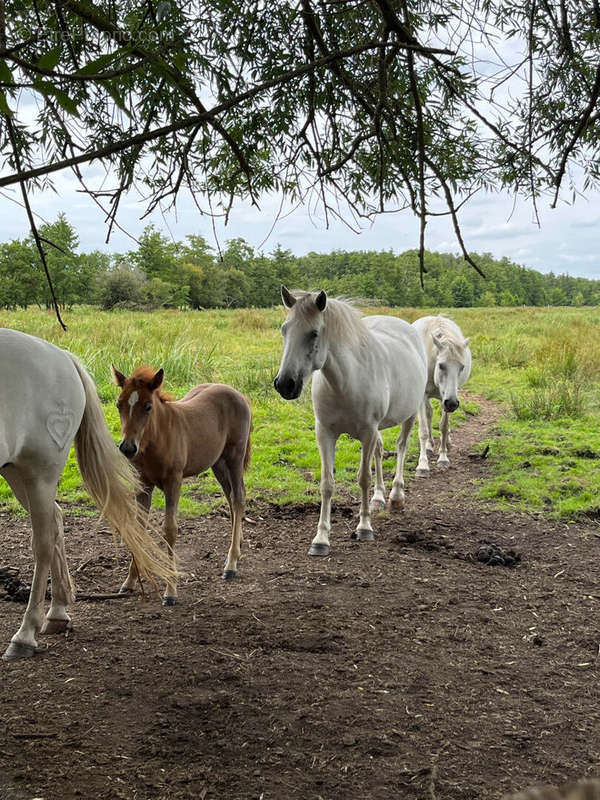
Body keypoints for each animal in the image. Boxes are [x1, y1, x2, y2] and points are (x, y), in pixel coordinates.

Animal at [0, 328, 175, 660]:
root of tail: (62, 357)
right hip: (14, 471)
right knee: (55, 521)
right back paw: (57, 612)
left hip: (38, 474)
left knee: (44, 541)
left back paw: (26, 634)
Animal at [111, 366, 250, 604]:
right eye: (119, 404)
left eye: (148, 406)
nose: (128, 448)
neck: (157, 439)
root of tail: (237, 393)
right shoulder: (143, 486)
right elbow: (138, 528)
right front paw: (129, 582)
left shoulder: (173, 482)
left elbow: (170, 529)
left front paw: (171, 591)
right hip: (217, 462)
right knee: (231, 497)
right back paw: (237, 549)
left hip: (235, 456)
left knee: (238, 497)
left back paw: (231, 565)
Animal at [274, 288, 428, 556]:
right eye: (285, 329)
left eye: (313, 333)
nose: (285, 384)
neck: (345, 382)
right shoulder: (325, 433)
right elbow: (327, 483)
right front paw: (321, 539)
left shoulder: (367, 432)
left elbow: (363, 478)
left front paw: (364, 527)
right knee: (379, 452)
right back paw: (378, 499)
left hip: (408, 416)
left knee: (401, 447)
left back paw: (396, 496)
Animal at [412, 314, 474, 476]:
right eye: (441, 365)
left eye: (462, 367)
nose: (452, 404)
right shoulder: (423, 397)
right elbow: (423, 430)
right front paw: (422, 465)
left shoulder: (445, 398)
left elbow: (444, 427)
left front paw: (443, 458)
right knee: (428, 415)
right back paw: (429, 446)